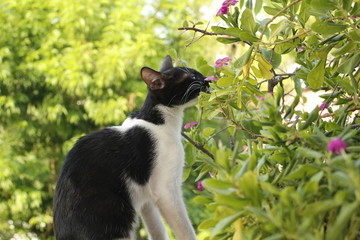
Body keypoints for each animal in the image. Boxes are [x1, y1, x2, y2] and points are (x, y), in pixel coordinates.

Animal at [53, 55, 208, 240]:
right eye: (193, 77)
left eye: (198, 73)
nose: (207, 80)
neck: (159, 121)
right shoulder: (166, 190)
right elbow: (185, 230)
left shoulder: (146, 196)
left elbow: (157, 229)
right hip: (116, 213)